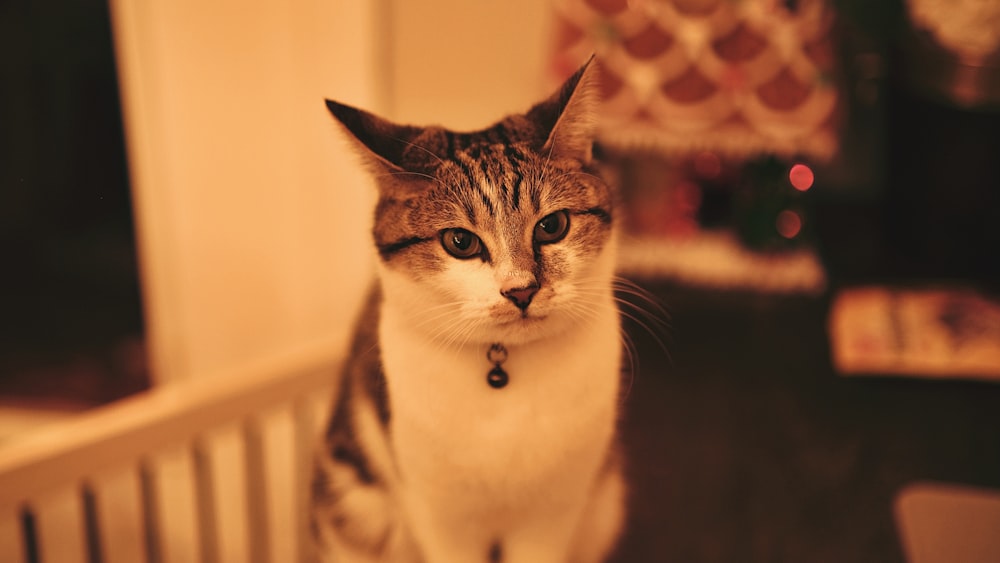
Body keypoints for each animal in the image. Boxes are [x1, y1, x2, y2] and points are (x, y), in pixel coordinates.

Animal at [312, 58, 624, 563]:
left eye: (552, 226)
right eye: (460, 241)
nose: (521, 291)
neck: (504, 382)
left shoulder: (554, 513)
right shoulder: (439, 515)